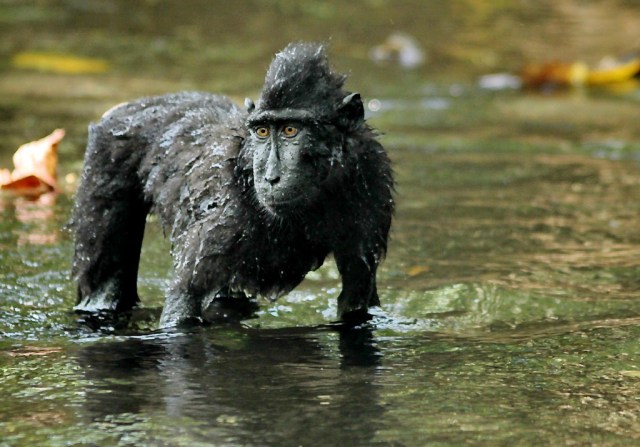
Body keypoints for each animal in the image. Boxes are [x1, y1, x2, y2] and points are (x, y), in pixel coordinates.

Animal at [71, 42, 394, 328]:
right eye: (262, 131)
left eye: (291, 130)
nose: (270, 177)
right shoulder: (224, 216)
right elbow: (184, 302)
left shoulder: (371, 183)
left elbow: (357, 297)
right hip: (105, 157)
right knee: (105, 285)